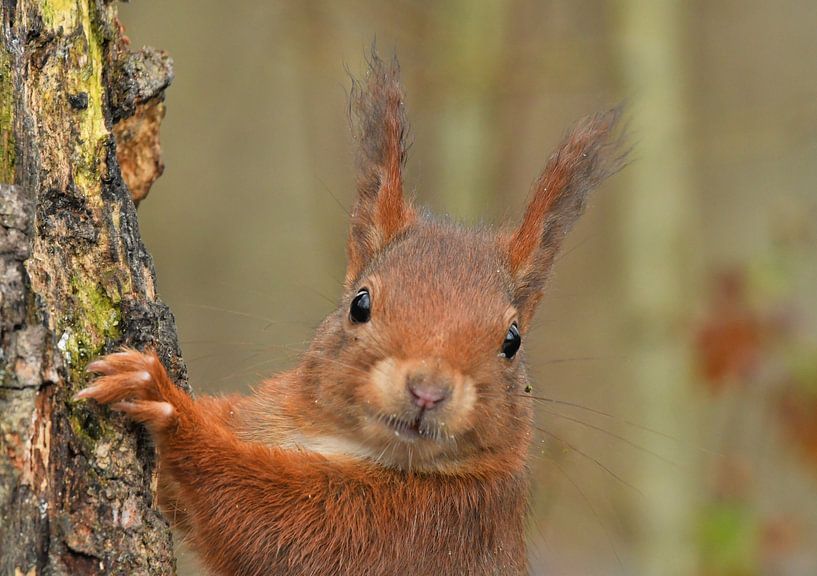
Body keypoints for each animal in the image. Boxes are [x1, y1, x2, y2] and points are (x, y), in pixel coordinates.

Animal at [77, 52, 626, 576]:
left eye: (512, 341)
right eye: (360, 304)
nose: (428, 391)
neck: (341, 440)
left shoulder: (424, 531)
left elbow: (267, 525)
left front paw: (163, 401)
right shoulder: (257, 415)